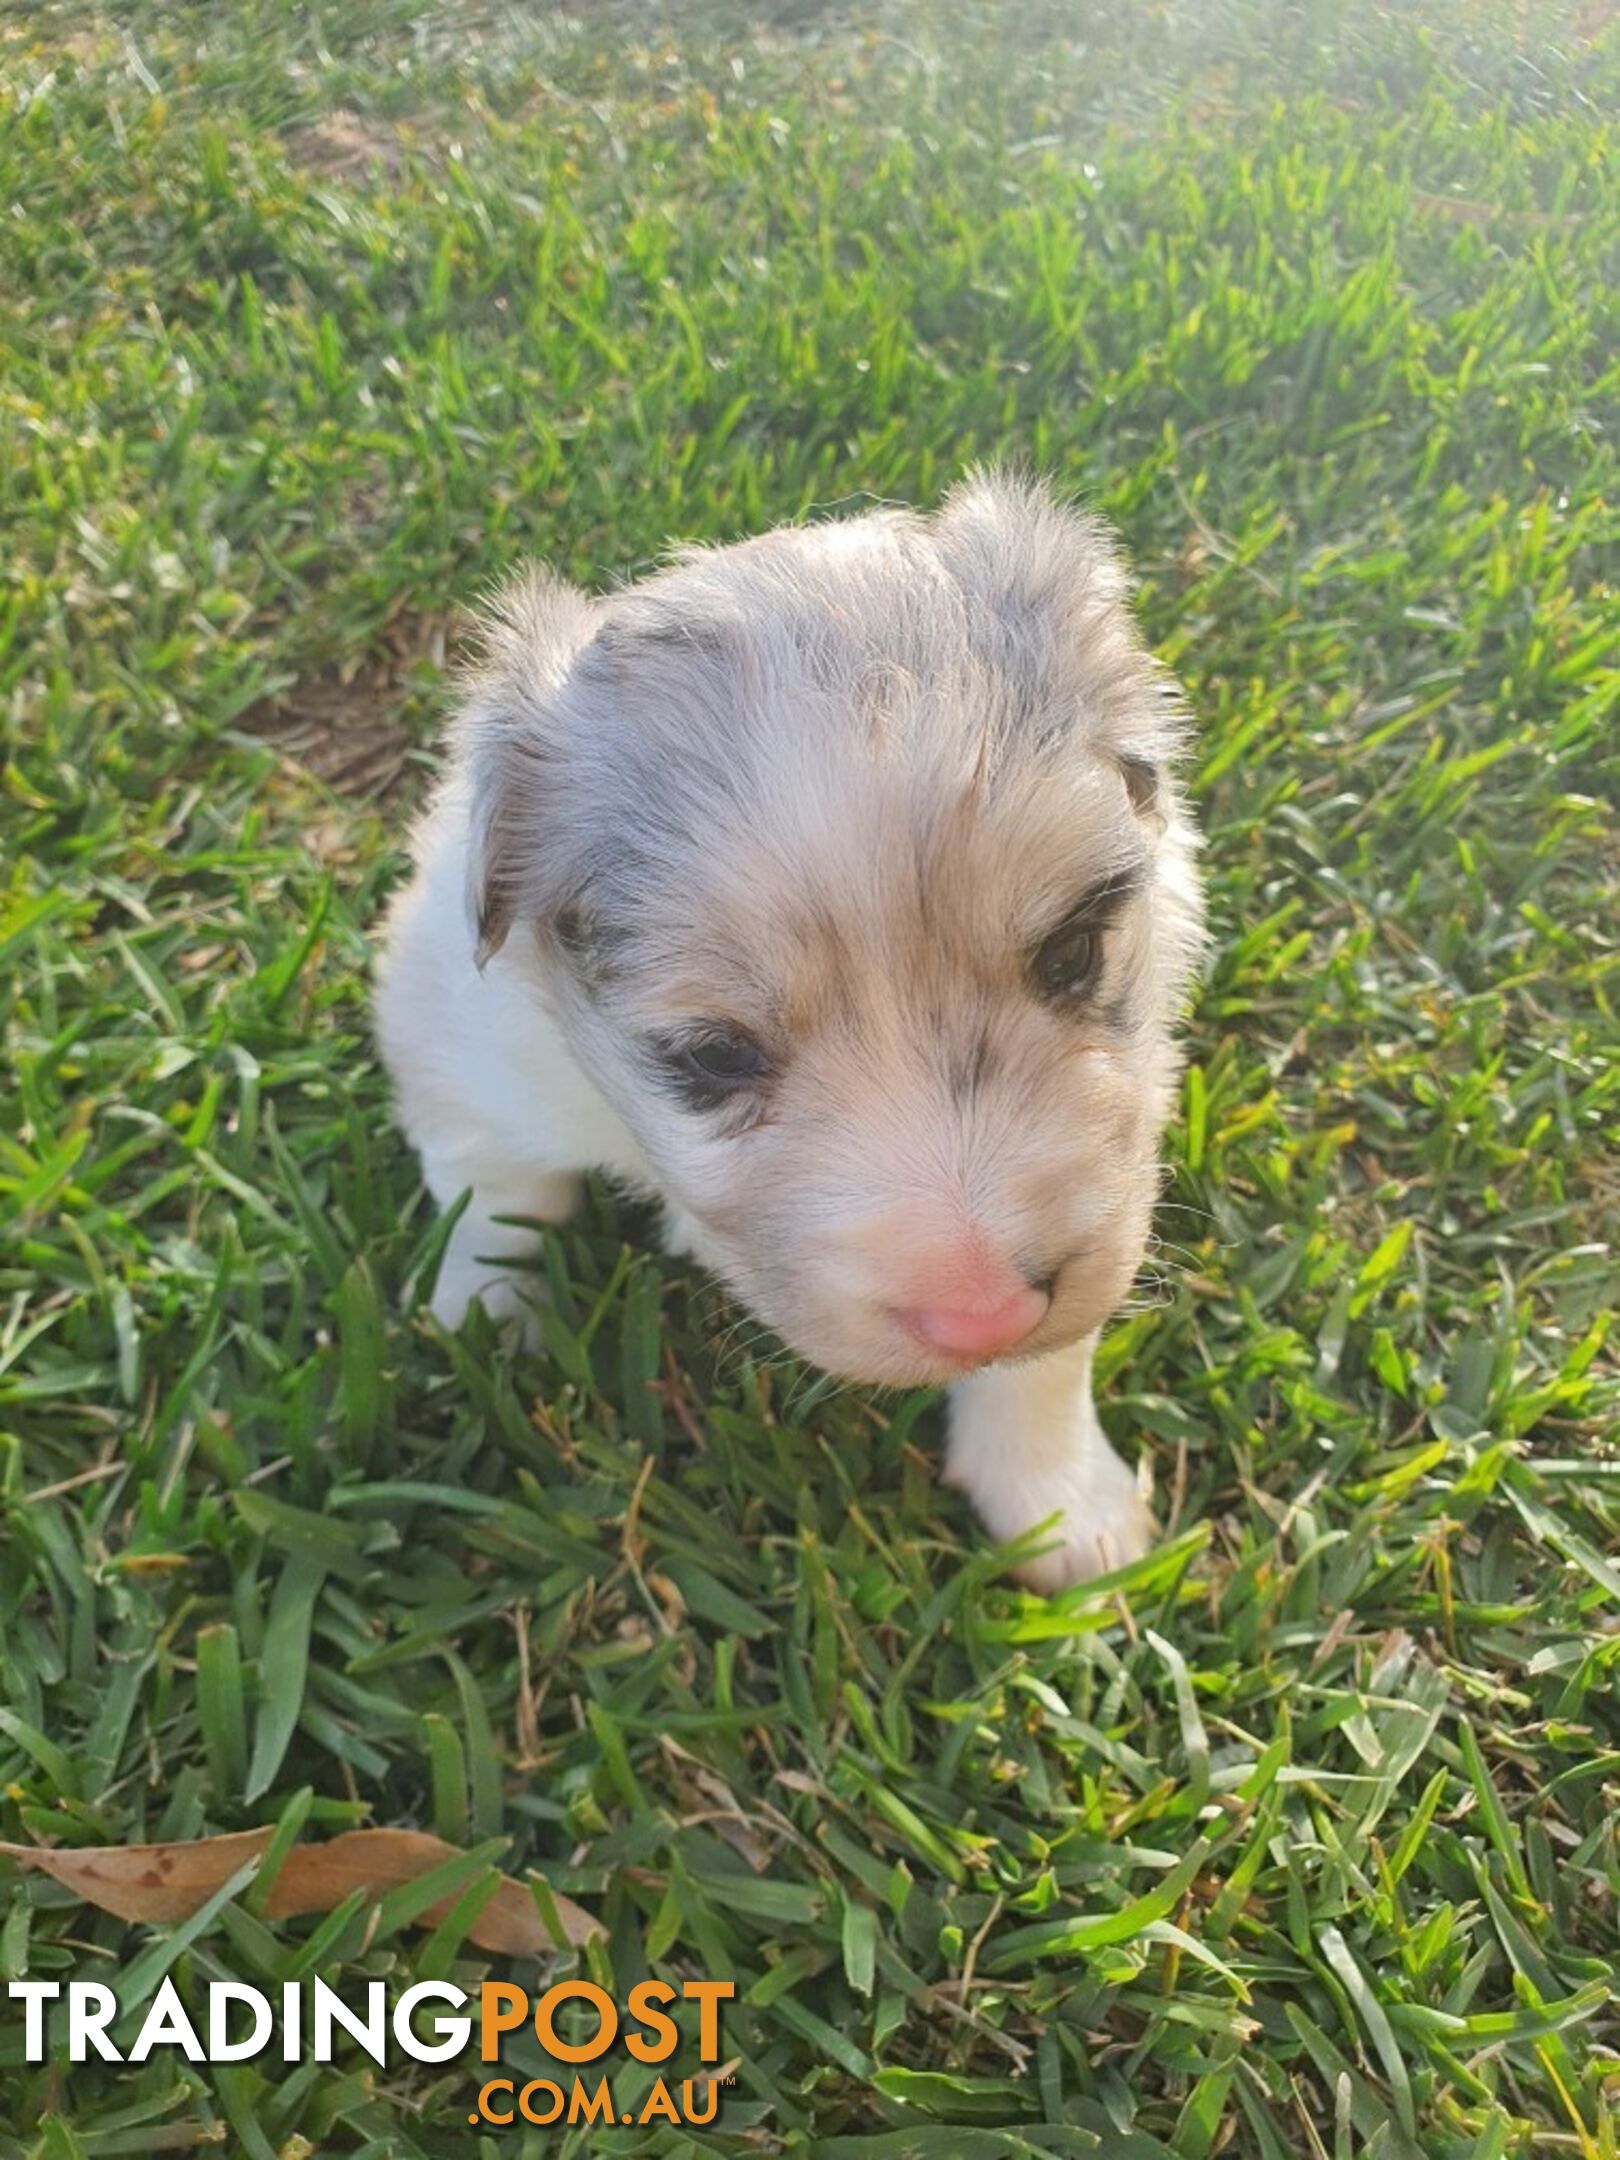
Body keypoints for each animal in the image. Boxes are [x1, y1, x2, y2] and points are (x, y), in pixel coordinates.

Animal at [371, 477, 1209, 1589]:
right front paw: (481, 1324)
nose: (983, 1315)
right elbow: (495, 1200)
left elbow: (1051, 1356)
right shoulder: (462, 1043)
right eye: (716, 1055)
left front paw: (1062, 1506)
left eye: (1073, 951)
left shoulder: (1122, 1145)